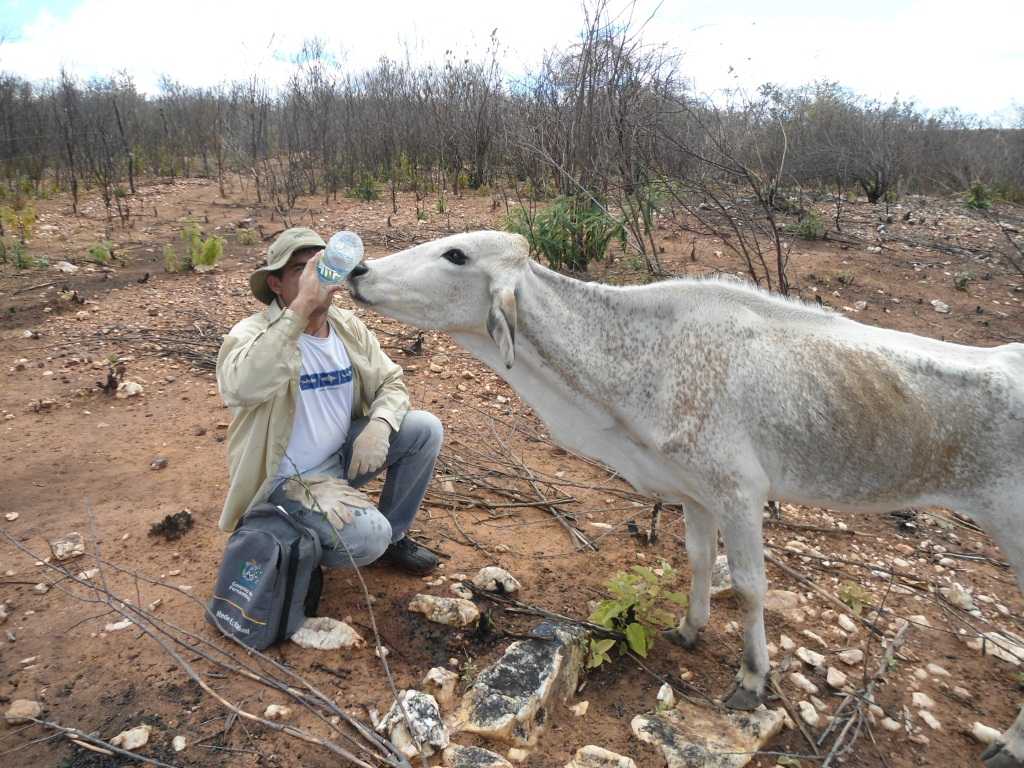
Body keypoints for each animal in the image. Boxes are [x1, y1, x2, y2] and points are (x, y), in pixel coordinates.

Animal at [350, 231, 1024, 765]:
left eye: (456, 255)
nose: (357, 271)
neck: (642, 361)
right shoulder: (696, 493)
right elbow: (699, 560)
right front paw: (689, 628)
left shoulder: (739, 492)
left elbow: (750, 588)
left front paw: (752, 680)